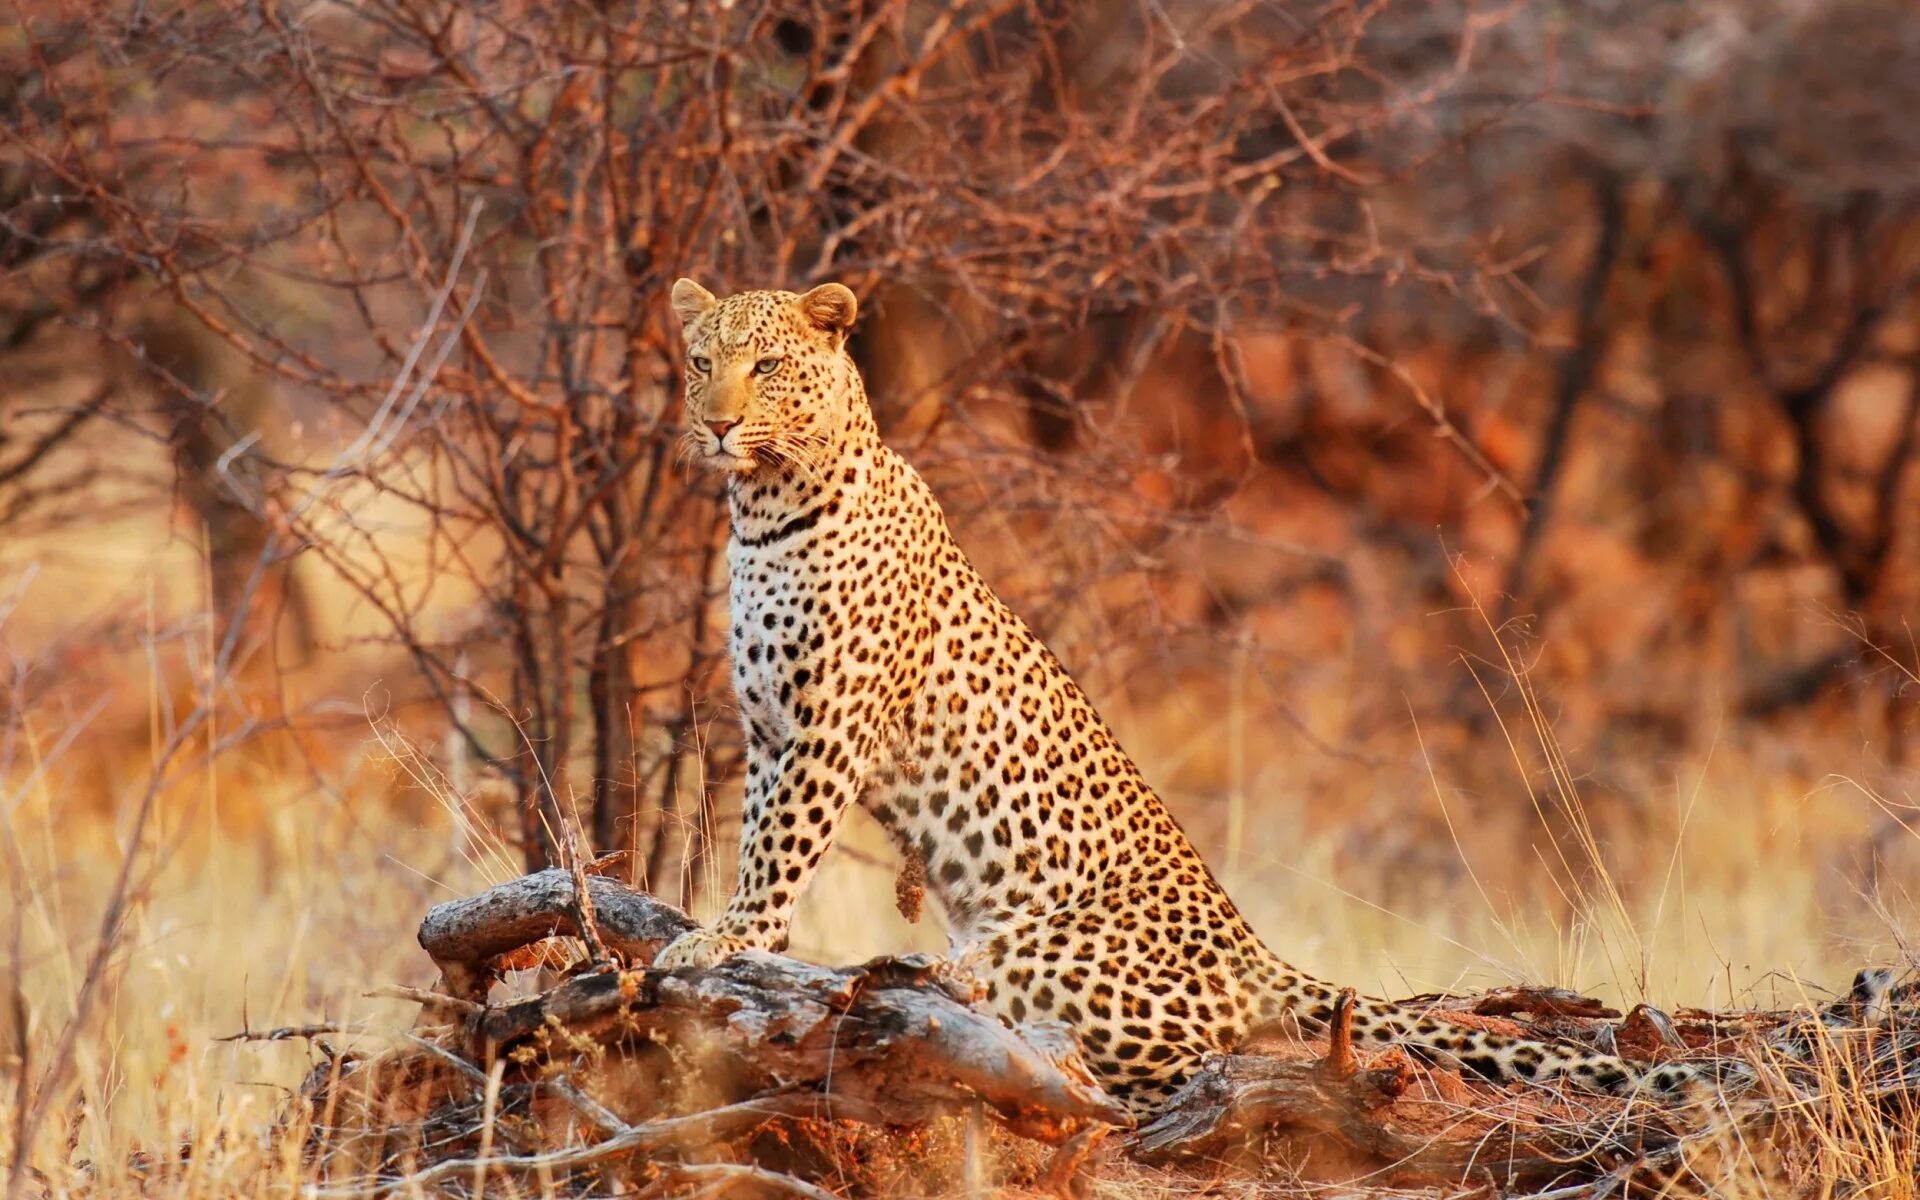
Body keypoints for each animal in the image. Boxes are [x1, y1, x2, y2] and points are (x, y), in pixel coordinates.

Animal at [652, 278, 1720, 1113]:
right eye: (701, 362)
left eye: (768, 368)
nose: (716, 424)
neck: (765, 512)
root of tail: (1253, 950)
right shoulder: (768, 730)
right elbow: (756, 834)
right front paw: (729, 931)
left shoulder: (825, 729)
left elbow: (778, 853)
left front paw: (727, 940)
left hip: (1054, 958)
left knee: (1179, 1060)